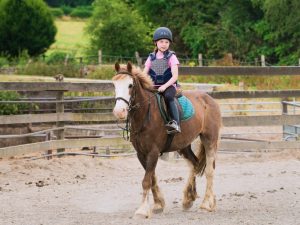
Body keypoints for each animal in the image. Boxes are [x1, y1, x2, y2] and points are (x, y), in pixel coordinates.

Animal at [112, 61, 223, 218]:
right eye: (114, 85)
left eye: (130, 85)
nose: (119, 111)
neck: (145, 114)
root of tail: (209, 99)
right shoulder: (141, 153)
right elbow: (152, 178)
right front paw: (158, 204)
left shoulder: (153, 152)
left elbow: (146, 180)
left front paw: (142, 210)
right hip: (184, 145)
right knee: (194, 164)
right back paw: (189, 199)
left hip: (209, 139)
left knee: (209, 170)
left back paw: (206, 204)